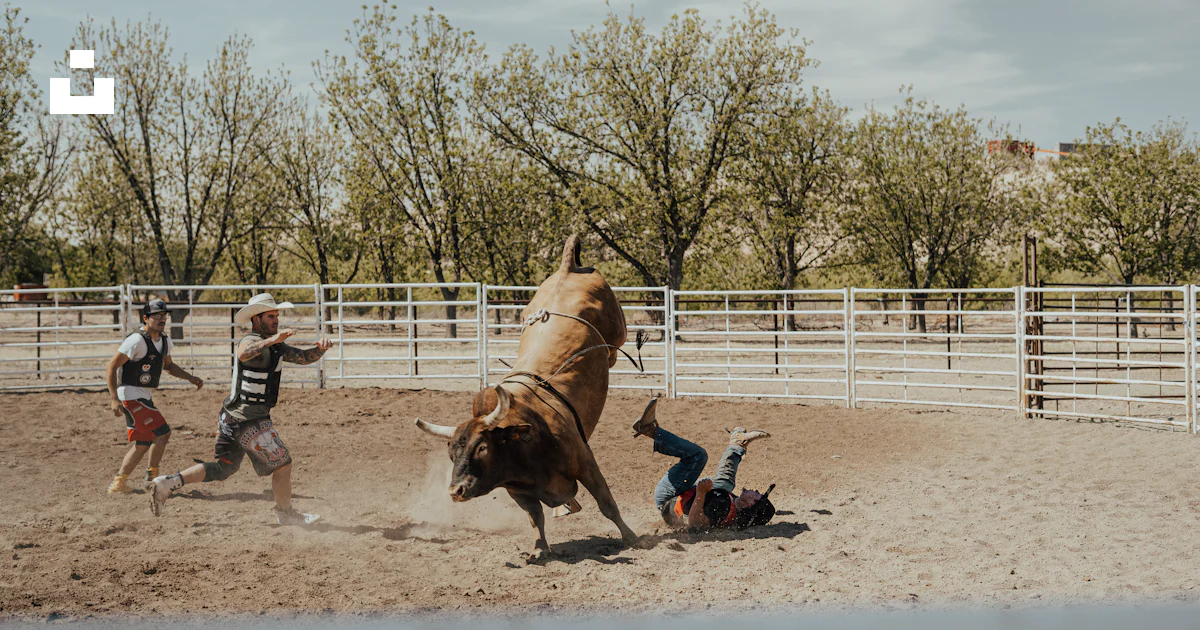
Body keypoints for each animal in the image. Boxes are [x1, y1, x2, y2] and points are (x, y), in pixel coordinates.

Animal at [413, 235, 639, 562]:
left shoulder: (586, 463)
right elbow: (536, 518)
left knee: (614, 346)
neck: (526, 444)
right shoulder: (518, 491)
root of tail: (568, 268)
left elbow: (607, 504)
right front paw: (539, 549)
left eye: (482, 447)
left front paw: (631, 537)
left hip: (616, 329)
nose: (455, 491)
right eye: (451, 452)